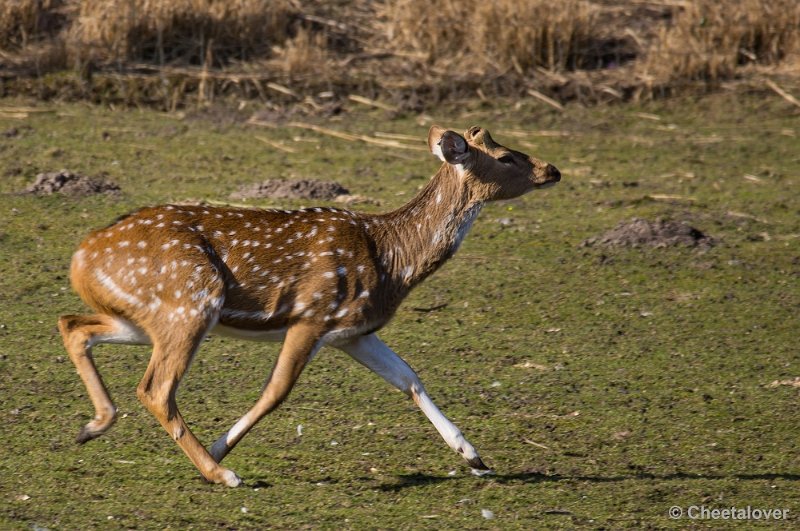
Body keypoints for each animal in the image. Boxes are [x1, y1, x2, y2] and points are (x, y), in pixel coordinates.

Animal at [56, 124, 560, 486]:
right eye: (506, 157)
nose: (553, 170)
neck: (392, 260)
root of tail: (80, 257)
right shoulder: (312, 314)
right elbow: (276, 391)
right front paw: (221, 450)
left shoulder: (354, 331)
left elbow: (409, 378)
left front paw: (474, 456)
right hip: (192, 301)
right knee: (155, 388)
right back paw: (220, 473)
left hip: (144, 317)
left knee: (73, 324)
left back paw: (92, 425)